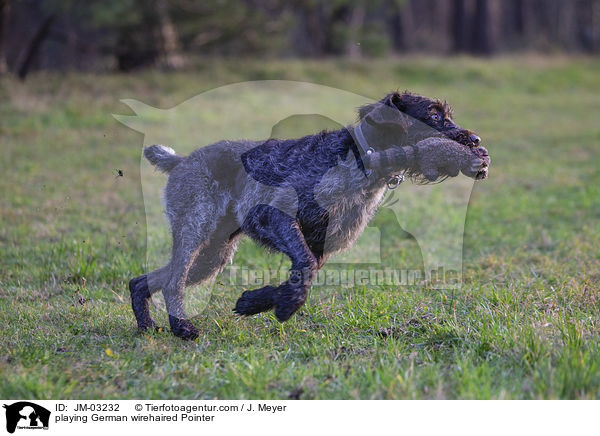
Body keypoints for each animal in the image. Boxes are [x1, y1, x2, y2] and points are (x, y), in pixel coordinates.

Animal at [129, 90, 490, 338]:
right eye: (434, 115)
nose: (476, 141)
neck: (362, 159)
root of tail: (181, 160)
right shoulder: (272, 217)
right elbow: (303, 268)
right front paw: (285, 306)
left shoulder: (319, 244)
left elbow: (303, 273)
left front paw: (255, 301)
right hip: (196, 232)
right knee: (173, 282)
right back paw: (181, 328)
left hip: (213, 254)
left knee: (143, 280)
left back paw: (147, 326)